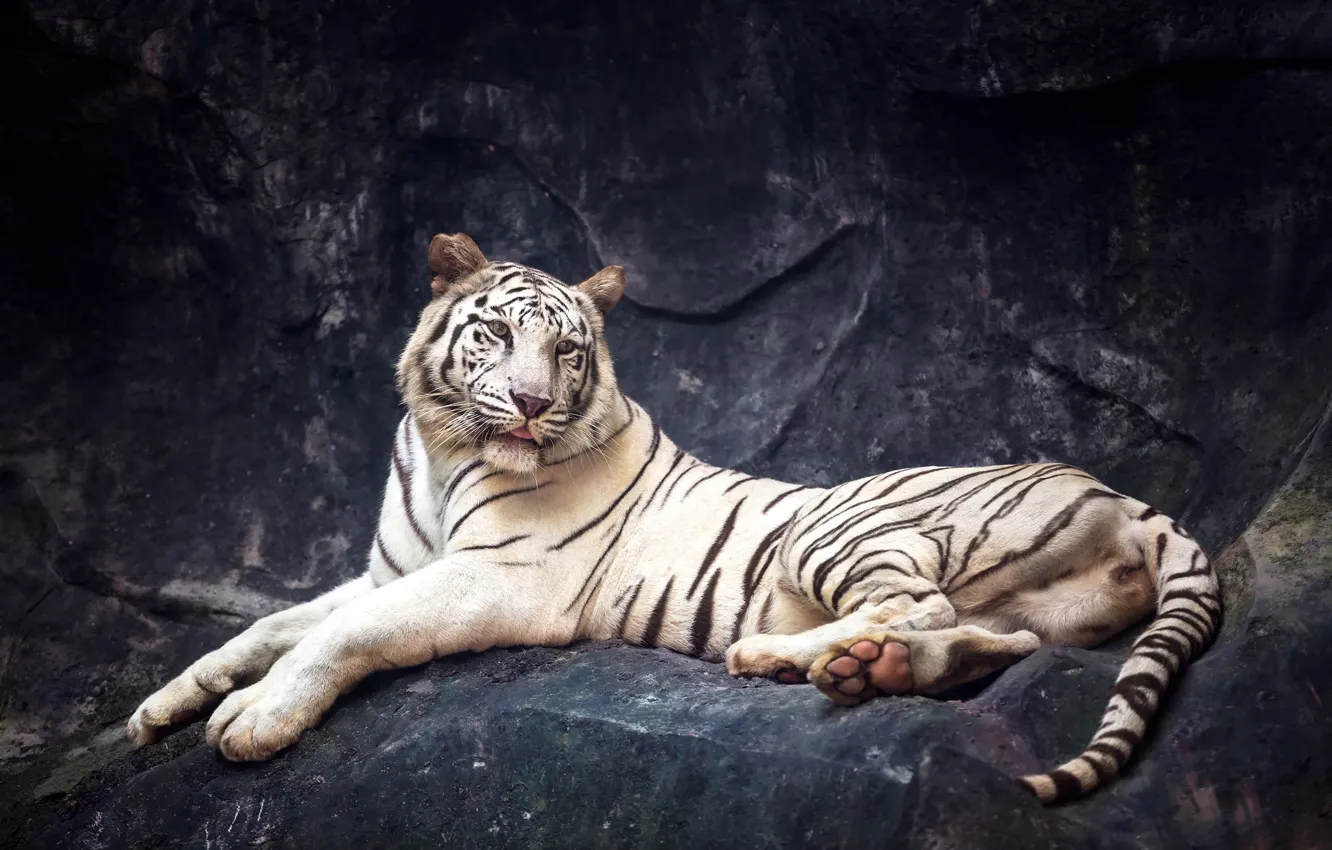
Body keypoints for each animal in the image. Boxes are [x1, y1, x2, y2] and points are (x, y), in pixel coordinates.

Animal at [126, 232, 1222, 804]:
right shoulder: (390, 568)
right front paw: (164, 706)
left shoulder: (499, 577)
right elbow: (271, 624)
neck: (443, 454)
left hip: (839, 529)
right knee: (990, 639)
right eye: (497, 335)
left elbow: (341, 633)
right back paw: (850, 671)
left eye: (567, 351)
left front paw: (253, 720)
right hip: (1002, 602)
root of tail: (1131, 500)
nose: (531, 403)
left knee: (925, 608)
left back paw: (781, 658)